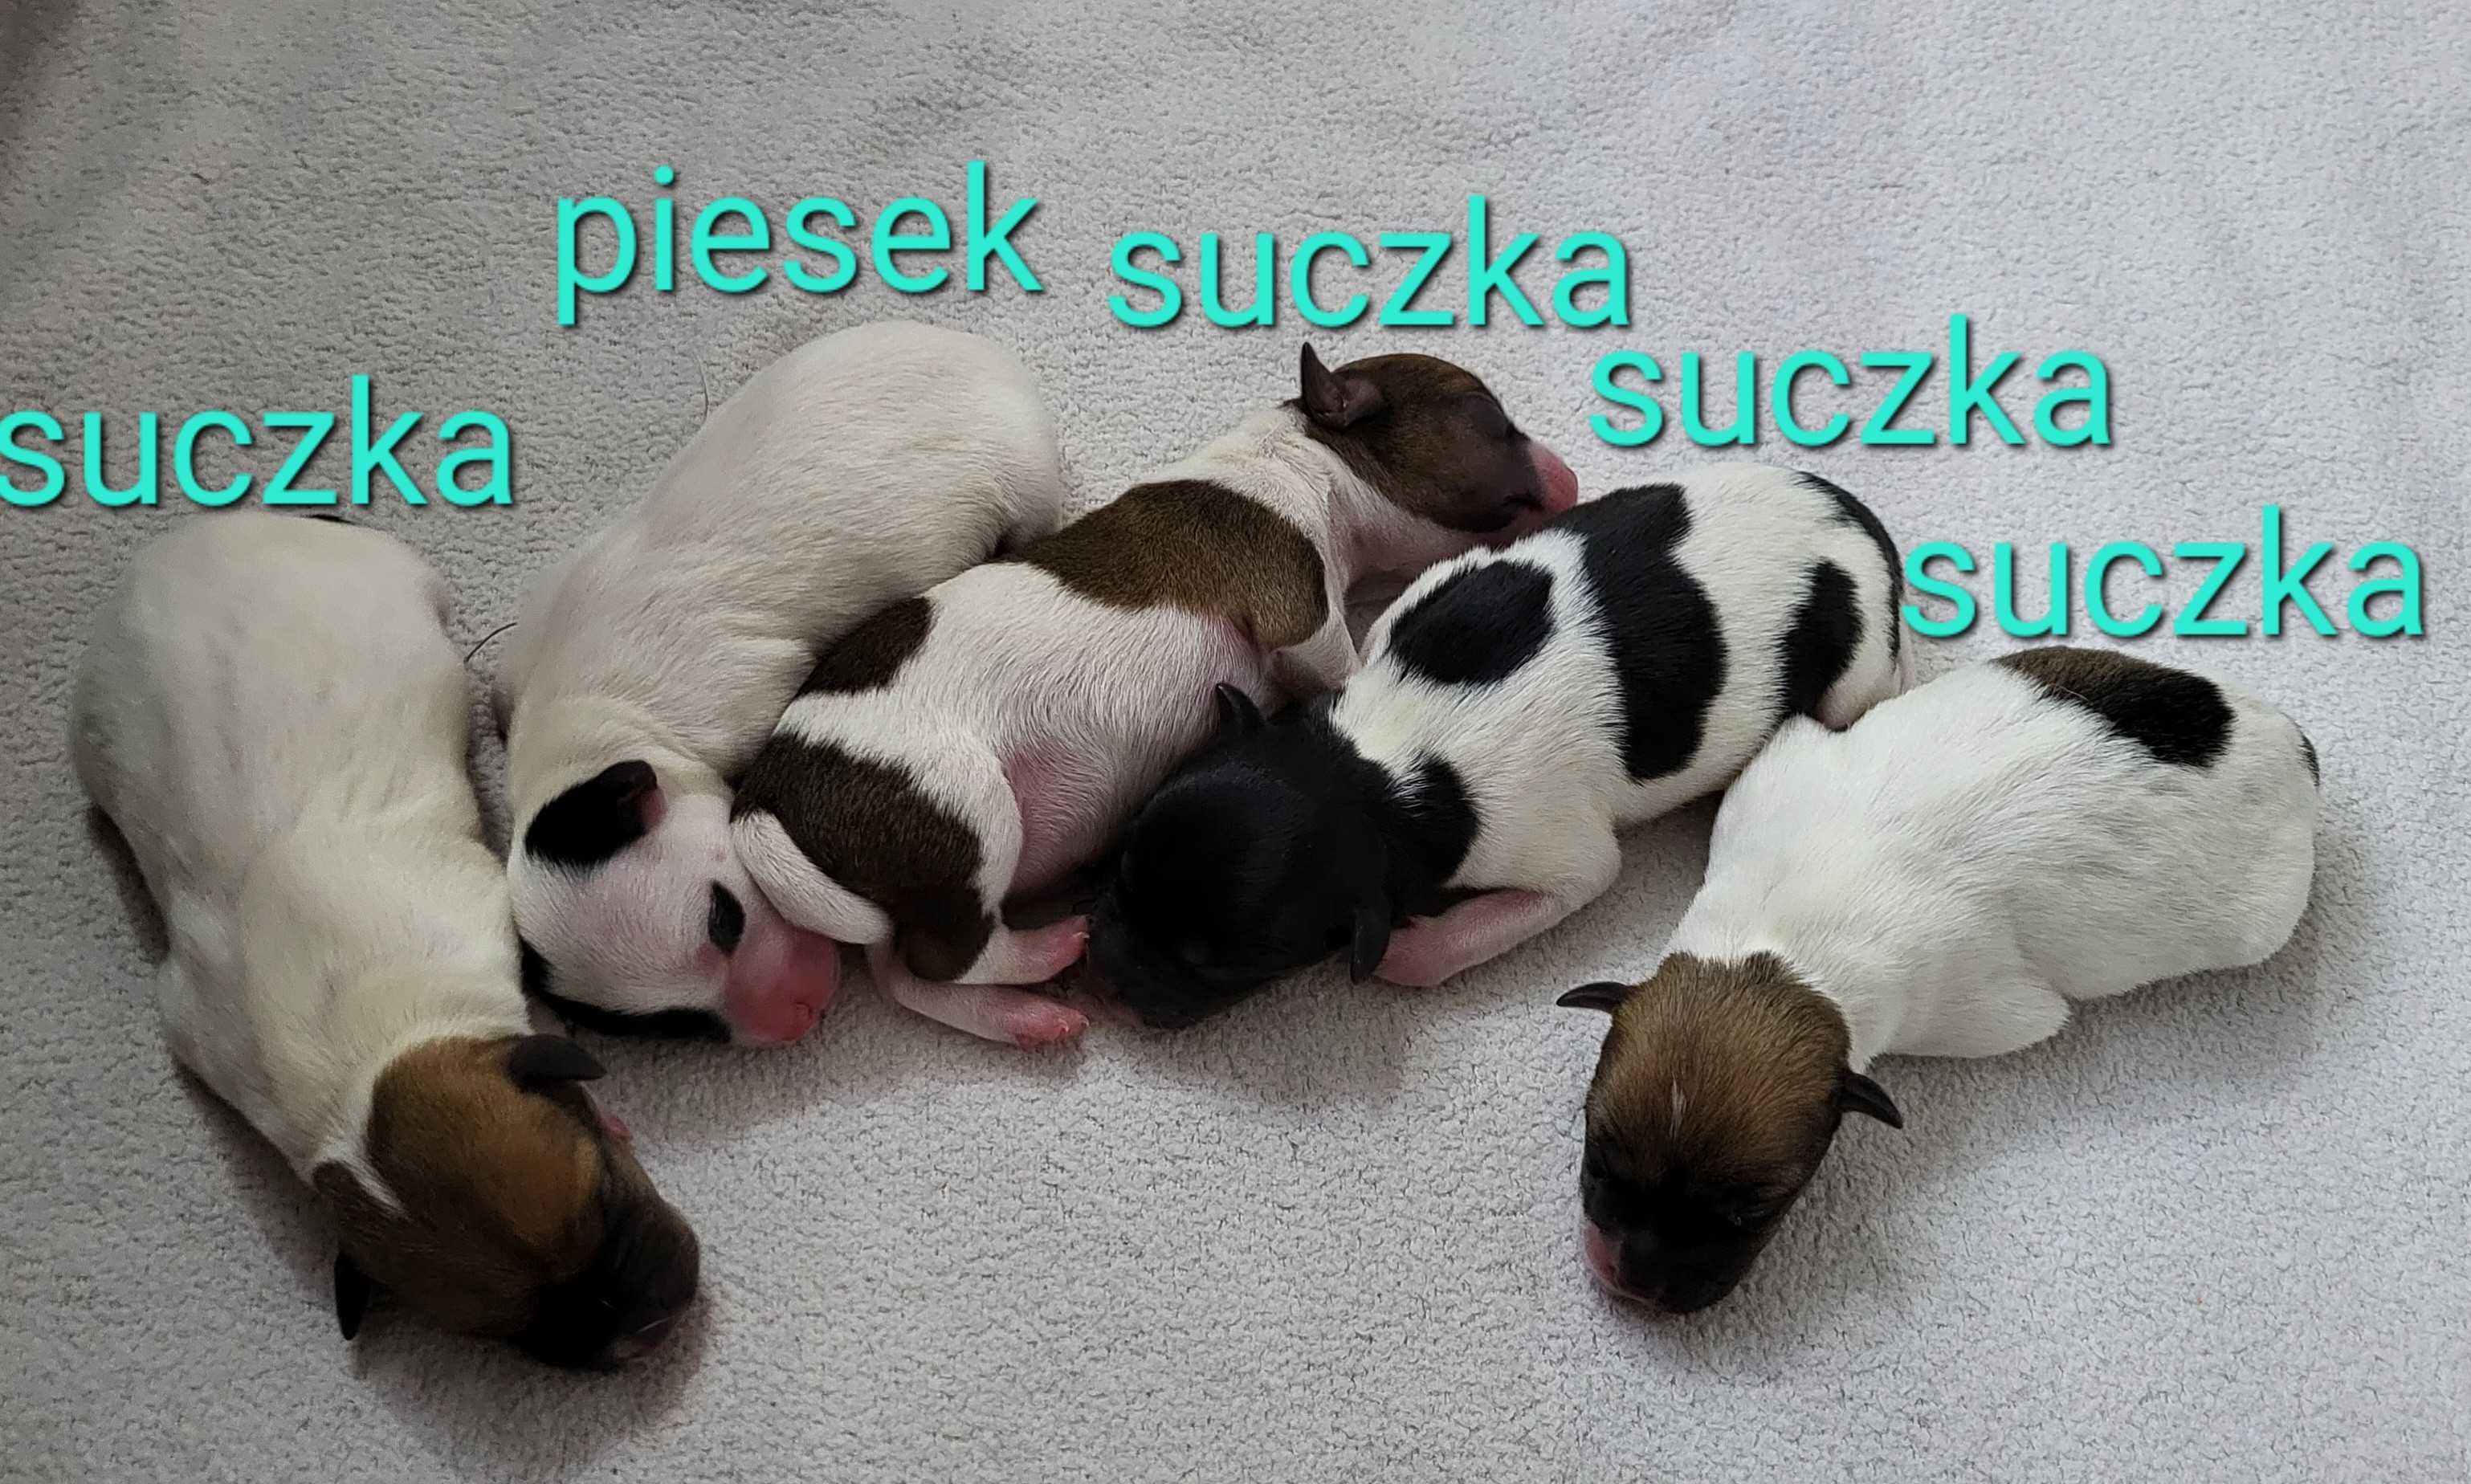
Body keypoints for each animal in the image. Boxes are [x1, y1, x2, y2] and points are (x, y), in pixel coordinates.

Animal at [70, 513, 700, 1367]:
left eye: (603, 1206)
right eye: (513, 1333)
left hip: (393, 574)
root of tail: (197, 533)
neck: (369, 1052)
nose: (648, 1332)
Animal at [496, 321, 1066, 1045]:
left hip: (1026, 485)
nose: (800, 1017)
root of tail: (990, 359)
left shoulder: (748, 702)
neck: (580, 730)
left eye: (725, 919)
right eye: (679, 1027)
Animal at [729, 344, 1582, 1046]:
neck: (1306, 464)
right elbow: (1341, 660)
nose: (1572, 476)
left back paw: (1020, 1017)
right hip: (968, 810)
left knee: (905, 974)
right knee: (949, 955)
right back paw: (1049, 946)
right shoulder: (1300, 620)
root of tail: (766, 800)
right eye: (1495, 422)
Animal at [1088, 464, 1907, 1028]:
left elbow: (1464, 934)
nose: (1109, 978)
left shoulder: (1559, 863)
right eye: (1119, 870)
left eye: (1219, 967)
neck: (1373, 766)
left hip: (1858, 674)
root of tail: (1863, 522)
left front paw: (1406, 952)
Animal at [1560, 646, 2320, 1313]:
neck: (1775, 955)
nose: (1636, 1285)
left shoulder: (1977, 1013)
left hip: (2264, 918)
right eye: (1598, 1163)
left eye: (1753, 1213)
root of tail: (2296, 748)